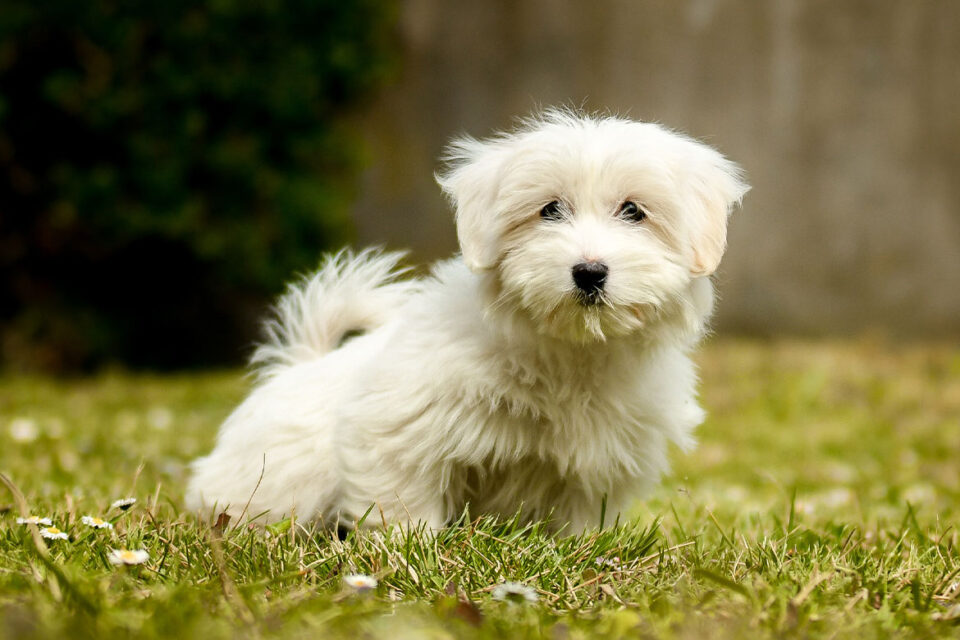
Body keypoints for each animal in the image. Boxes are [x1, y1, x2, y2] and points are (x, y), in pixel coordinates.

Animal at [184, 111, 748, 536]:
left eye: (634, 211)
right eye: (549, 210)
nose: (589, 272)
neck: (570, 350)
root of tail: (293, 367)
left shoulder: (600, 461)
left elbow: (581, 517)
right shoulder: (397, 426)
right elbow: (402, 496)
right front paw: (412, 548)